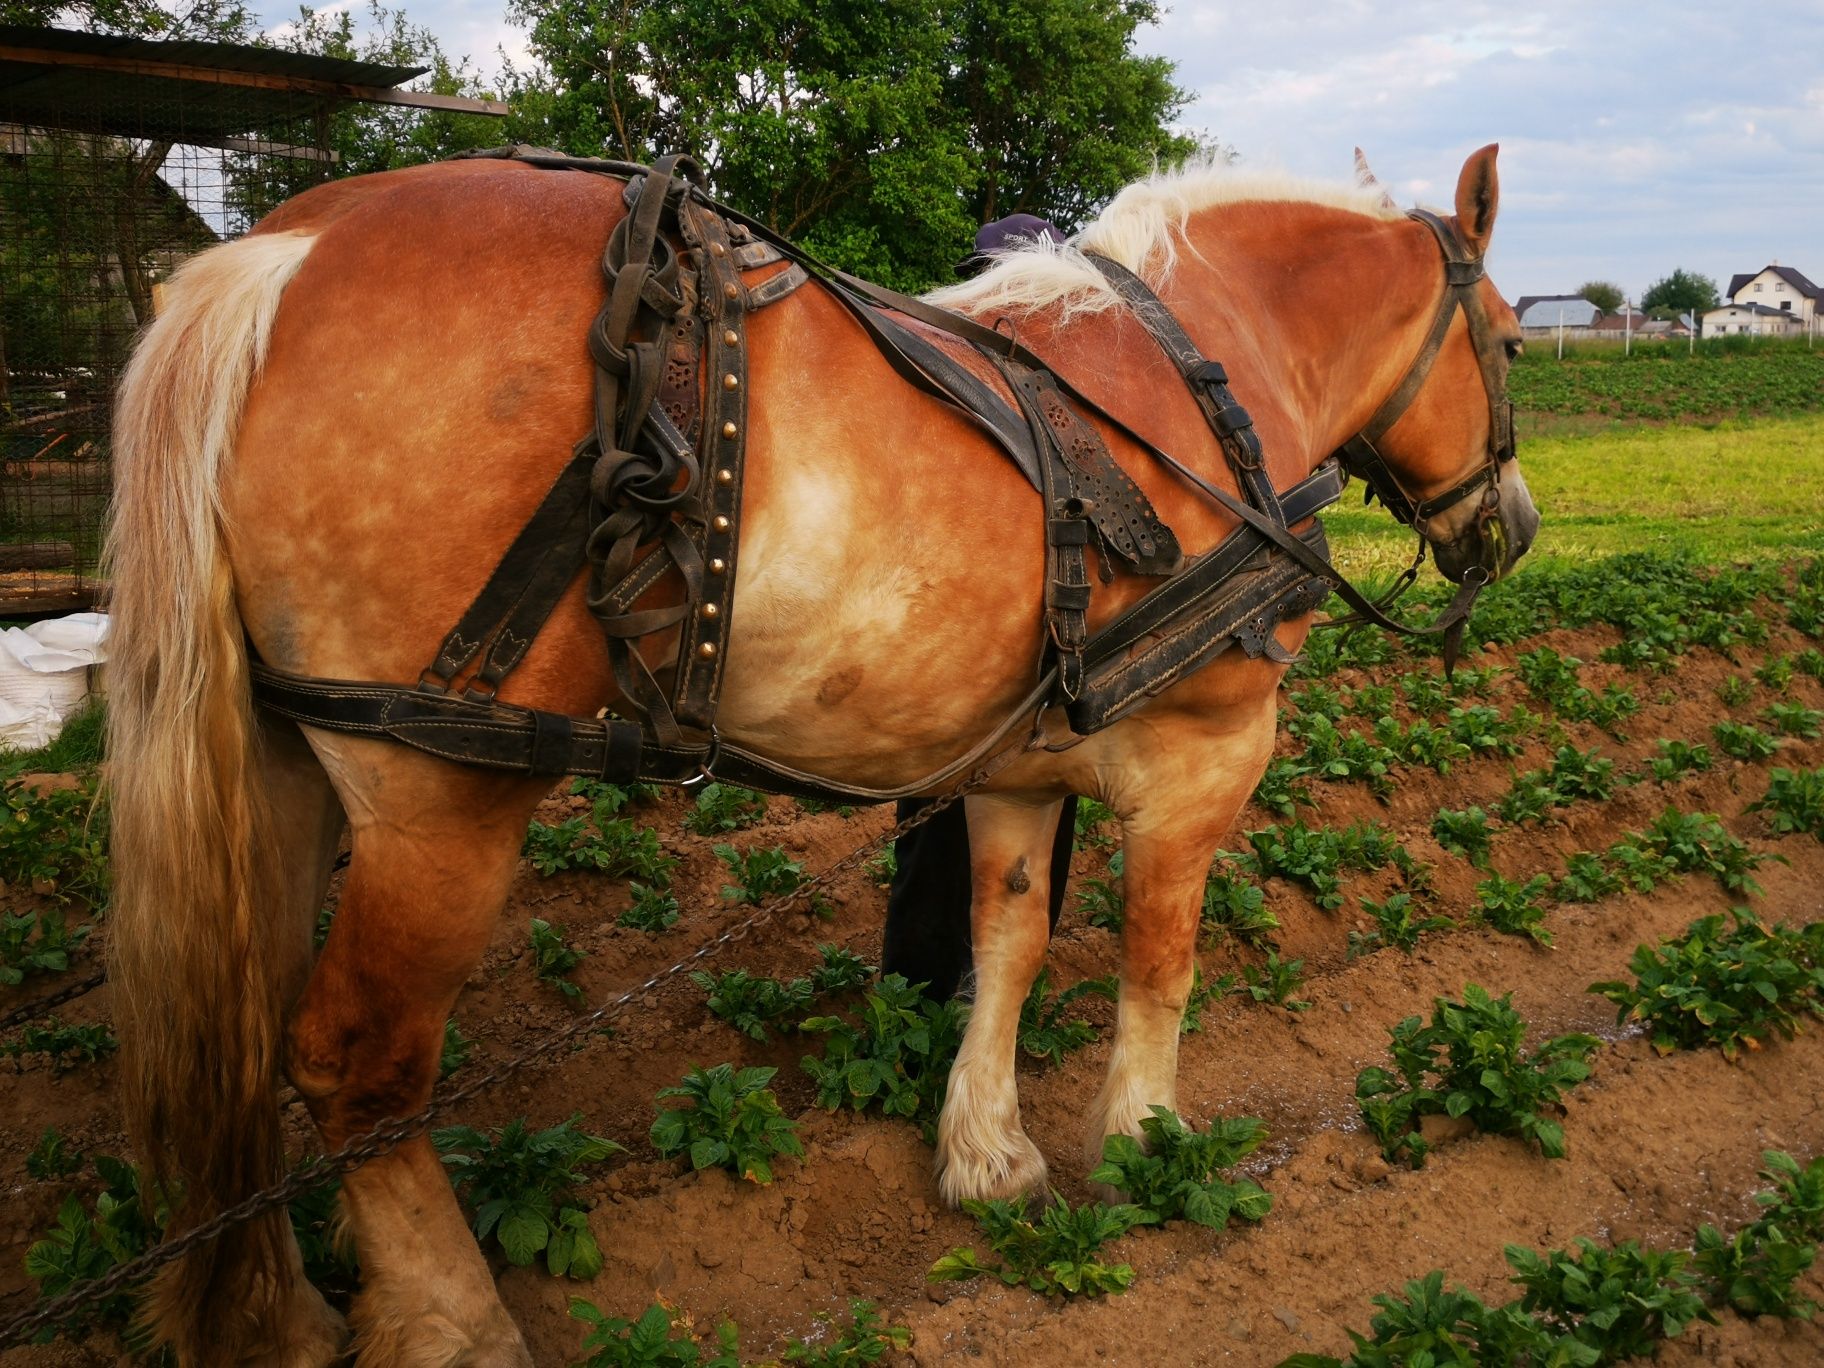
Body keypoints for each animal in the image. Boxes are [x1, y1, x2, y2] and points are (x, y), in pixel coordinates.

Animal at [106, 145, 1539, 1364]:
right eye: (1518, 342)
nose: (1513, 528)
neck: (1205, 388)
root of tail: (283, 253)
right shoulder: (1207, 754)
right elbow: (1158, 957)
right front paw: (1148, 1146)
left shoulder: (1013, 773)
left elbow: (1007, 944)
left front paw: (987, 1153)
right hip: (438, 793)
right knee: (357, 1065)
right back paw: (455, 1323)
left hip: (286, 771)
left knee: (243, 1037)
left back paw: (283, 1316)